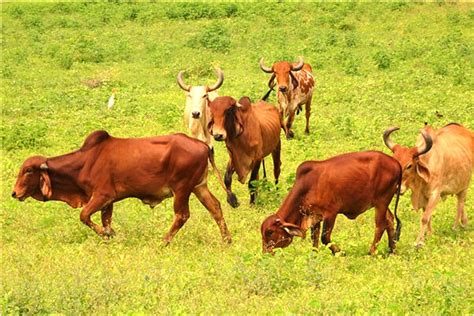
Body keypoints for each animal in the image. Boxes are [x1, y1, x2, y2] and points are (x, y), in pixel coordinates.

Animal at [11, 130, 235, 243]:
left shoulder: (101, 195)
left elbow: (84, 216)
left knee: (182, 215)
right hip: (199, 186)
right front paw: (111, 236)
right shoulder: (108, 202)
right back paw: (227, 240)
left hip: (182, 189)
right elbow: (105, 221)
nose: (14, 193)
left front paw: (108, 235)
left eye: (28, 171)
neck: (86, 161)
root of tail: (203, 145)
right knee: (215, 207)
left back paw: (163, 241)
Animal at [262, 151, 402, 256]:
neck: (307, 187)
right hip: (382, 202)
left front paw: (341, 253)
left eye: (270, 232)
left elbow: (325, 238)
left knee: (380, 225)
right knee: (389, 220)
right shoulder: (314, 216)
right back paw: (392, 251)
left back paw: (372, 252)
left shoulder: (330, 213)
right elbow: (314, 239)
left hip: (382, 201)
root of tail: (396, 163)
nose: (265, 253)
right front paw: (315, 255)